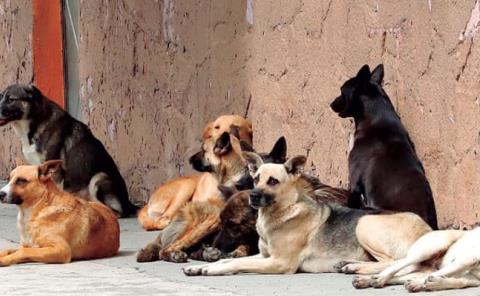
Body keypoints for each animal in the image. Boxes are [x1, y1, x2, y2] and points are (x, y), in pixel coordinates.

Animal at [0, 84, 139, 216]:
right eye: (1, 97)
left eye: (11, 99)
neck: (35, 122)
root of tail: (128, 204)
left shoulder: (54, 169)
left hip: (99, 178)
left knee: (115, 211)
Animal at [183, 154, 432, 276]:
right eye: (256, 178)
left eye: (273, 181)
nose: (253, 196)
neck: (280, 214)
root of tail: (427, 229)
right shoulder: (264, 255)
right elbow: (229, 258)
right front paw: (201, 266)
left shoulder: (280, 263)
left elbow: (235, 263)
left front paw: (212, 268)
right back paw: (348, 264)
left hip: (365, 224)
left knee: (399, 263)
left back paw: (356, 268)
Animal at [352, 228, 480, 292]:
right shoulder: (466, 259)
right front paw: (421, 283)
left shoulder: (473, 279)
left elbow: (460, 282)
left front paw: (434, 284)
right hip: (429, 248)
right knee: (398, 265)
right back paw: (379, 278)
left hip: (421, 268)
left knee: (400, 277)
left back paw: (365, 281)